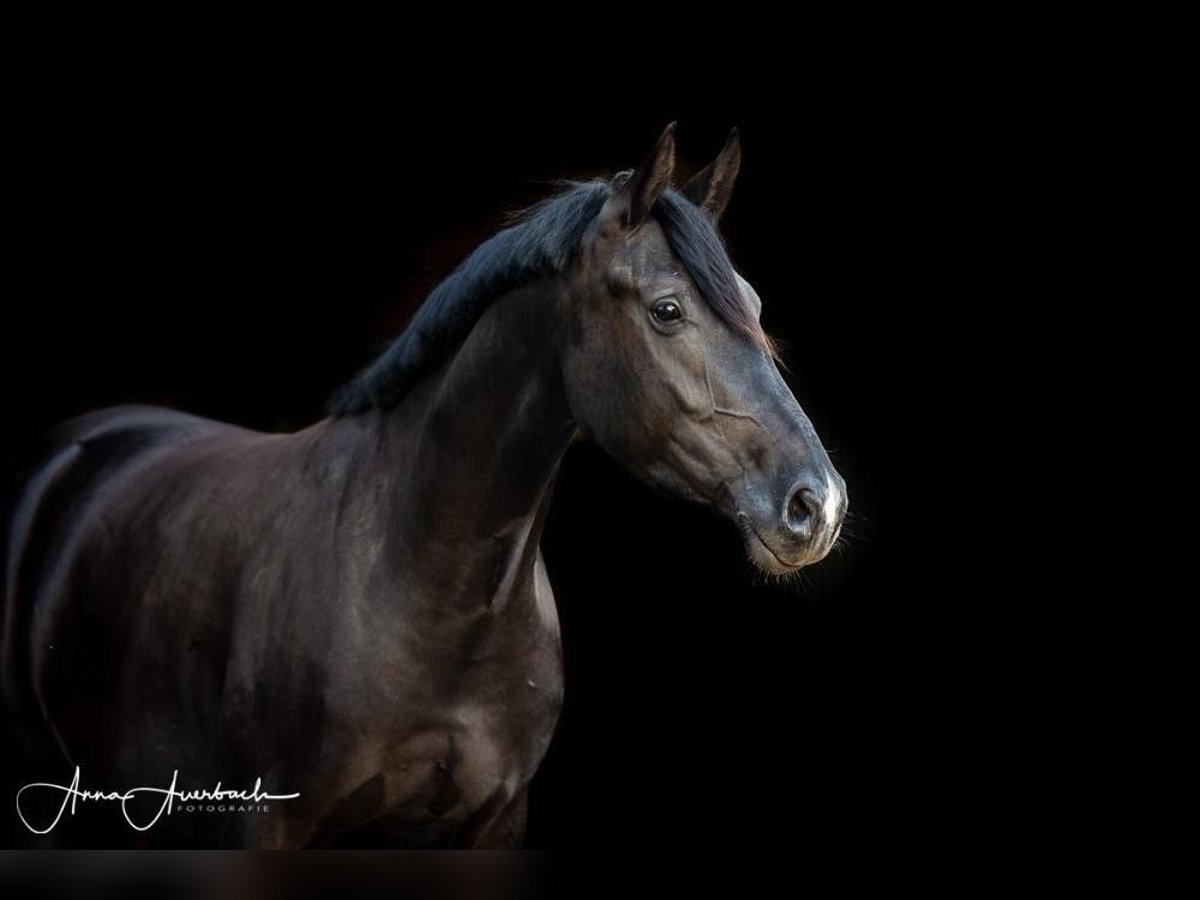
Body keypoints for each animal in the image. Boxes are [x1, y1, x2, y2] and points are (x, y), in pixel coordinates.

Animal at [2, 125, 844, 844]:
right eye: (666, 310)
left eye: (755, 306)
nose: (819, 505)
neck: (423, 588)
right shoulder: (266, 821)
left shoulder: (493, 819)